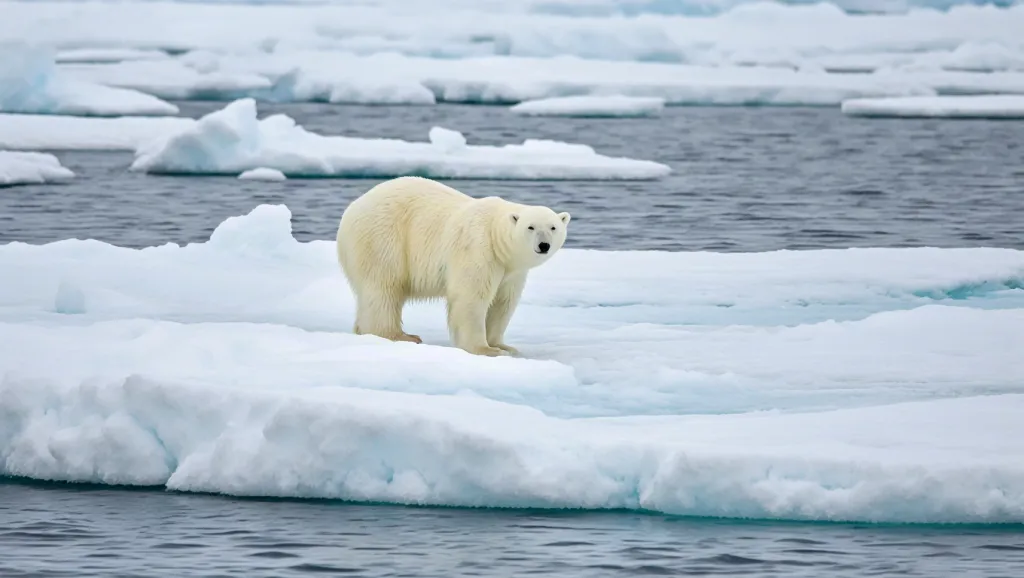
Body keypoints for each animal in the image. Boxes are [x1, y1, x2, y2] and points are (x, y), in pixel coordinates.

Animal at [335, 176, 570, 357]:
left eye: (553, 227)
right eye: (530, 227)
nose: (544, 245)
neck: (496, 236)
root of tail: (349, 212)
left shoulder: (511, 270)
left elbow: (503, 302)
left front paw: (503, 346)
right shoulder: (478, 248)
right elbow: (471, 297)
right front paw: (485, 349)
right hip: (383, 238)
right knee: (384, 287)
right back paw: (400, 335)